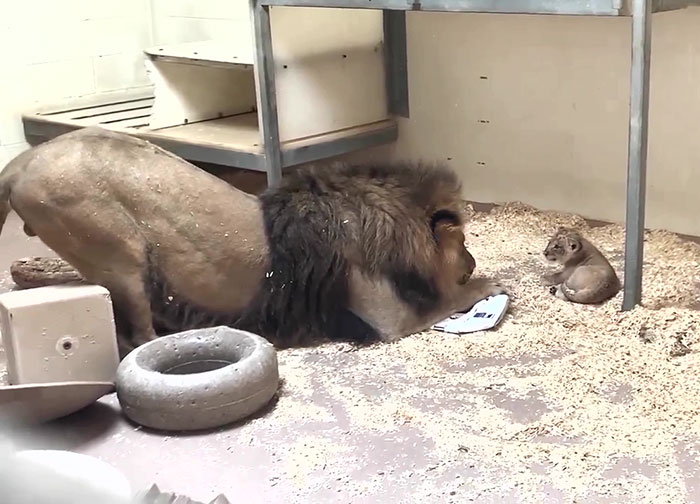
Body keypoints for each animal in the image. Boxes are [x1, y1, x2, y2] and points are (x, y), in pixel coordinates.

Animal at [0, 127, 504, 352]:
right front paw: (491, 285)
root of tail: (20, 164)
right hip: (118, 252)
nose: (473, 262)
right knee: (139, 333)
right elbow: (447, 299)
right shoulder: (387, 319)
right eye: (462, 242)